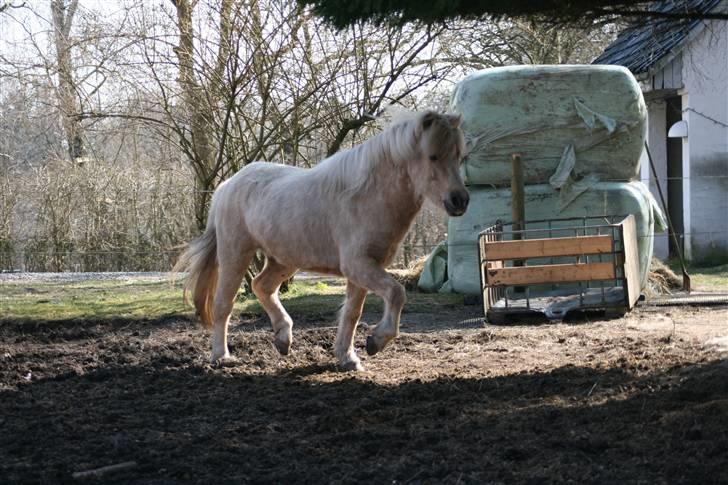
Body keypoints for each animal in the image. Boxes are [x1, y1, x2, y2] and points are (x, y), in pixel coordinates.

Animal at [177, 109, 472, 368]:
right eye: (433, 156)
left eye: (458, 155)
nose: (460, 200)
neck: (366, 196)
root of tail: (227, 186)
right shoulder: (358, 265)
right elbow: (397, 293)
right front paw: (376, 341)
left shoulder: (363, 269)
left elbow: (352, 313)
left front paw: (348, 357)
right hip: (236, 254)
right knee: (223, 305)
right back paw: (221, 356)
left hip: (284, 260)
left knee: (262, 286)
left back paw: (283, 339)